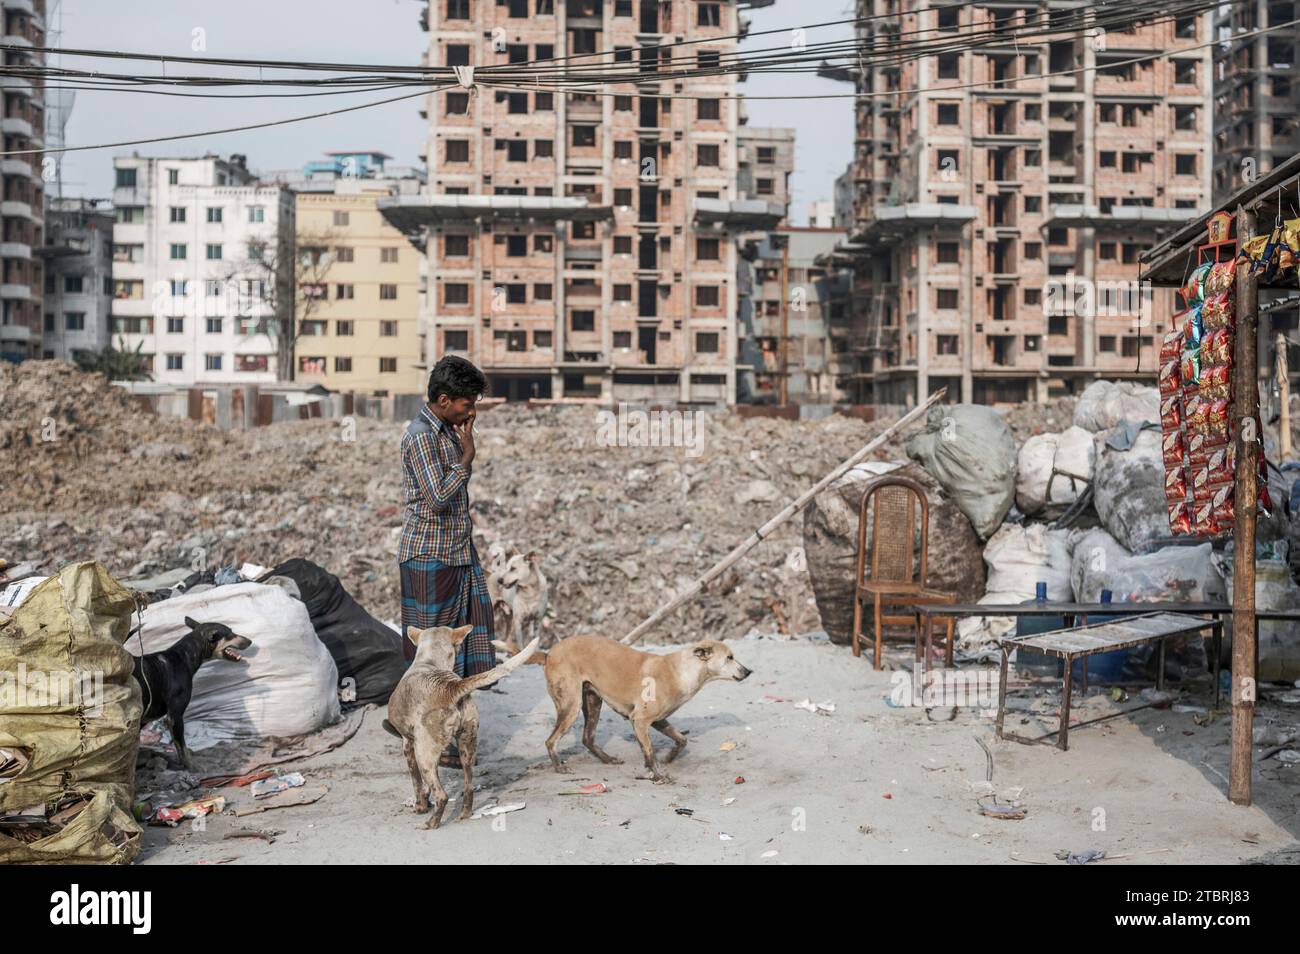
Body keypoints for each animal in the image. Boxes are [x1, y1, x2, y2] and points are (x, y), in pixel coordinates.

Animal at [131, 621, 250, 769]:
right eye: (230, 633)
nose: (250, 641)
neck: (183, 657)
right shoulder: (174, 717)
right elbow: (182, 749)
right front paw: (192, 767)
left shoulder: (144, 718)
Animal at [379, 629, 538, 831]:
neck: (430, 660)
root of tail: (450, 688)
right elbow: (425, 786)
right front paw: (425, 801)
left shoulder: (408, 745)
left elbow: (417, 783)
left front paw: (421, 807)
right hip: (466, 747)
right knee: (468, 786)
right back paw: (465, 813)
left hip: (424, 754)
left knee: (442, 796)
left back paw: (431, 823)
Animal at [527, 634, 754, 785]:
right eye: (729, 657)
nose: (749, 671)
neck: (683, 671)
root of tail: (548, 654)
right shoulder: (640, 720)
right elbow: (650, 752)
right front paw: (659, 775)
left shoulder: (658, 720)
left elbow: (681, 739)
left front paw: (669, 758)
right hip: (570, 706)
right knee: (551, 741)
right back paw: (559, 767)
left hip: (593, 702)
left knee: (587, 738)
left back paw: (608, 759)